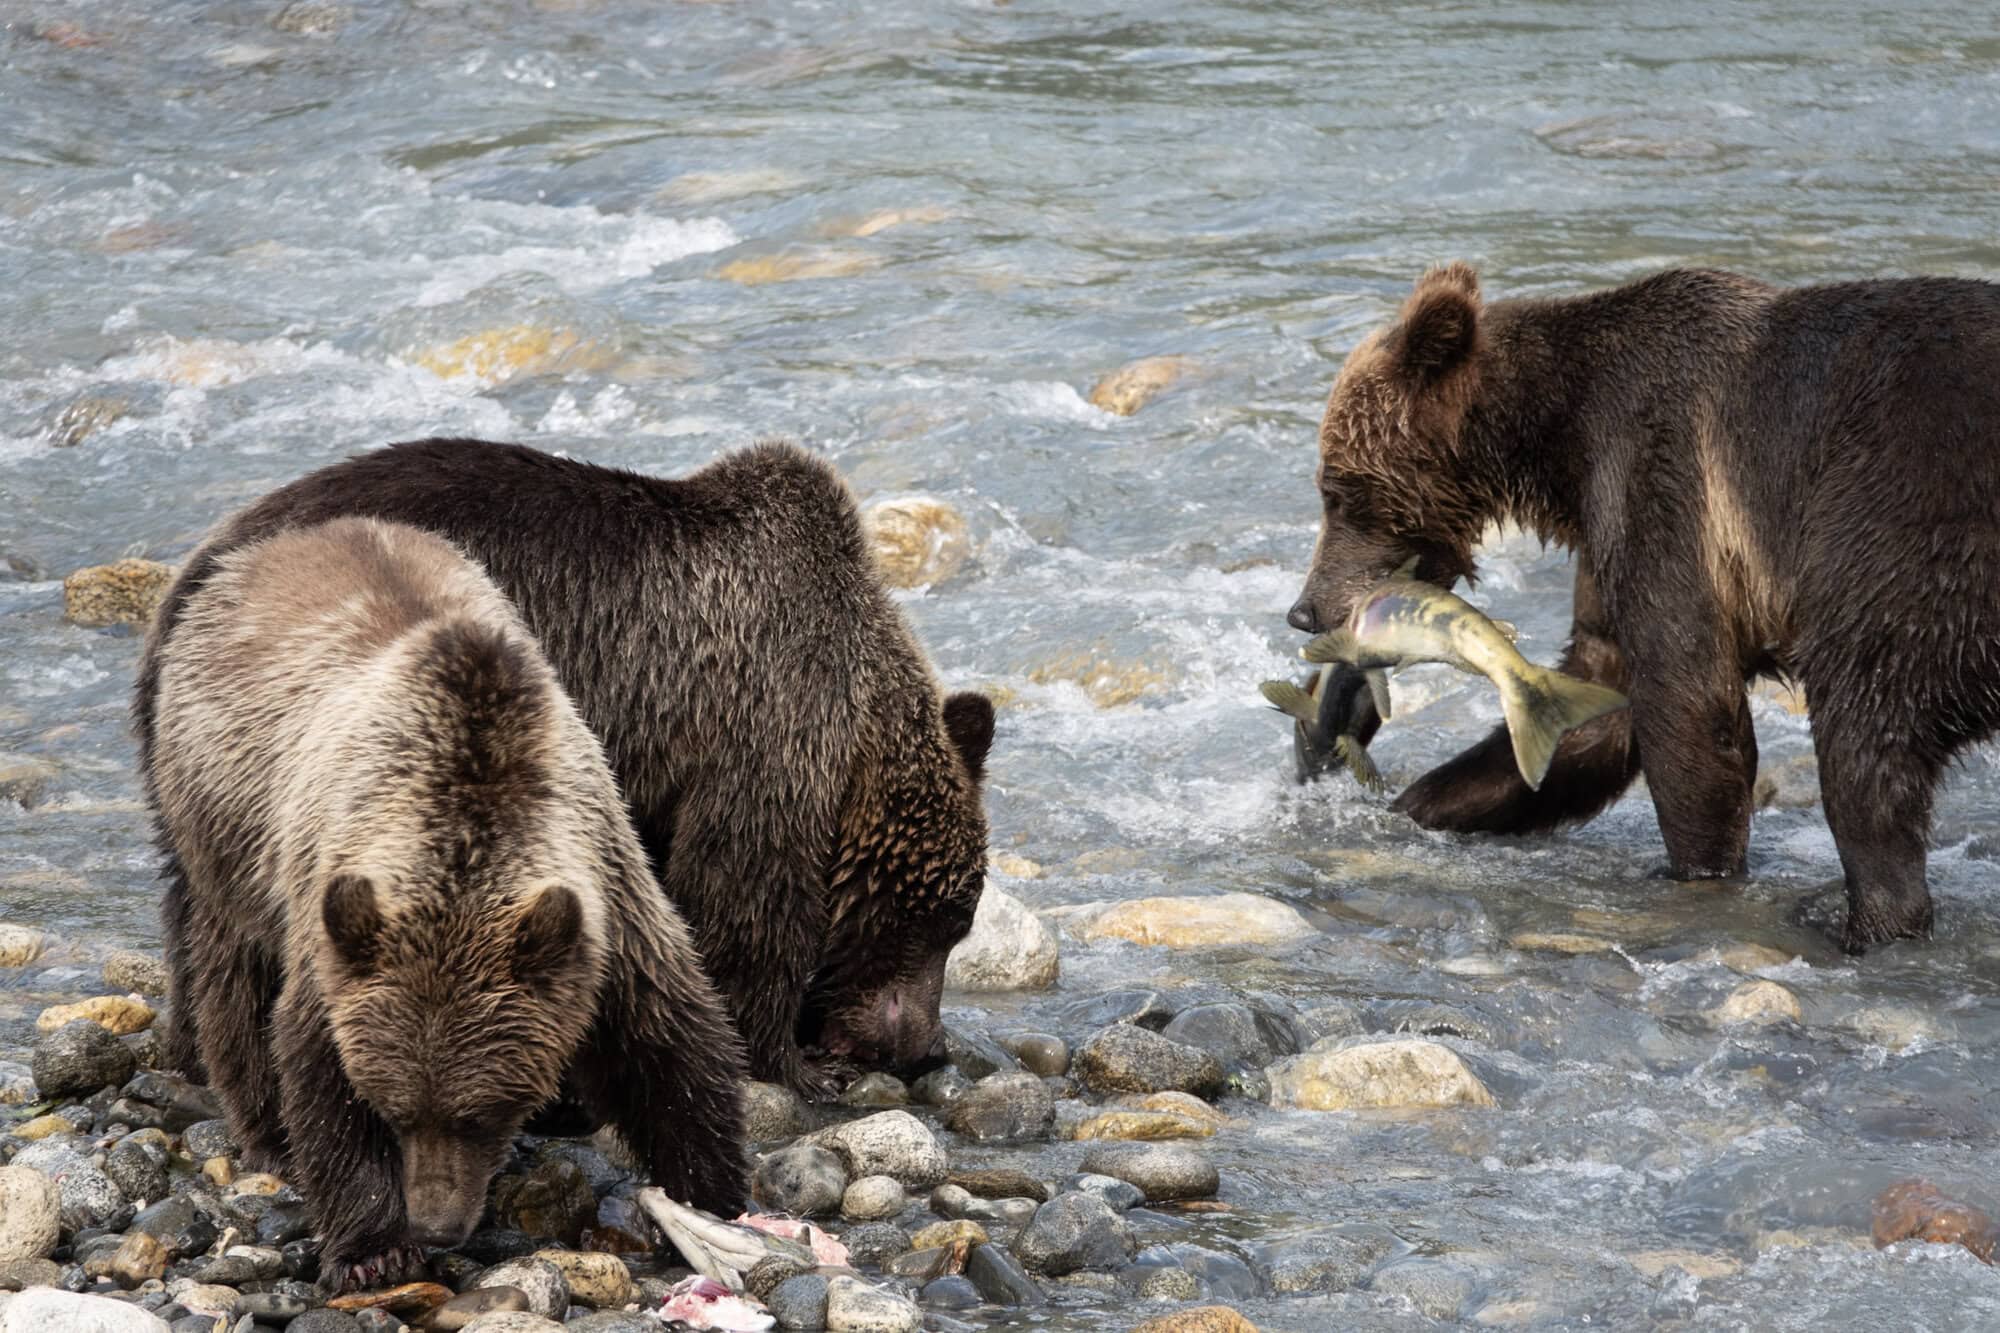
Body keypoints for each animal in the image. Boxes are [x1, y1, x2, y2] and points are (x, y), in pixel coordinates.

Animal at [135, 438, 994, 1098]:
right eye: (948, 921)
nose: (925, 1047)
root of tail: (187, 583)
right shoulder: (769, 718)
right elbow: (746, 894)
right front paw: (797, 1062)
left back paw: (192, 1051)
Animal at [141, 516, 747, 1290]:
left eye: (481, 1113)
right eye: (396, 1111)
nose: (435, 1223)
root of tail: (277, 542)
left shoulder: (607, 892)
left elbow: (667, 1041)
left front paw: (713, 1193)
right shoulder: (335, 923)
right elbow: (315, 1064)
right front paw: (373, 1248)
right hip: (224, 817)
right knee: (234, 970)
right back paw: (268, 1129)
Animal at [1287, 261, 2000, 953]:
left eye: (1337, 489)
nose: (1304, 610)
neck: (1558, 437)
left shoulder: (1663, 481)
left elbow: (1688, 701)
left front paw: (1695, 870)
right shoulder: (1607, 528)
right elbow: (1598, 694)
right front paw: (1415, 805)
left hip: (1908, 531)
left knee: (1865, 733)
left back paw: (1861, 920)